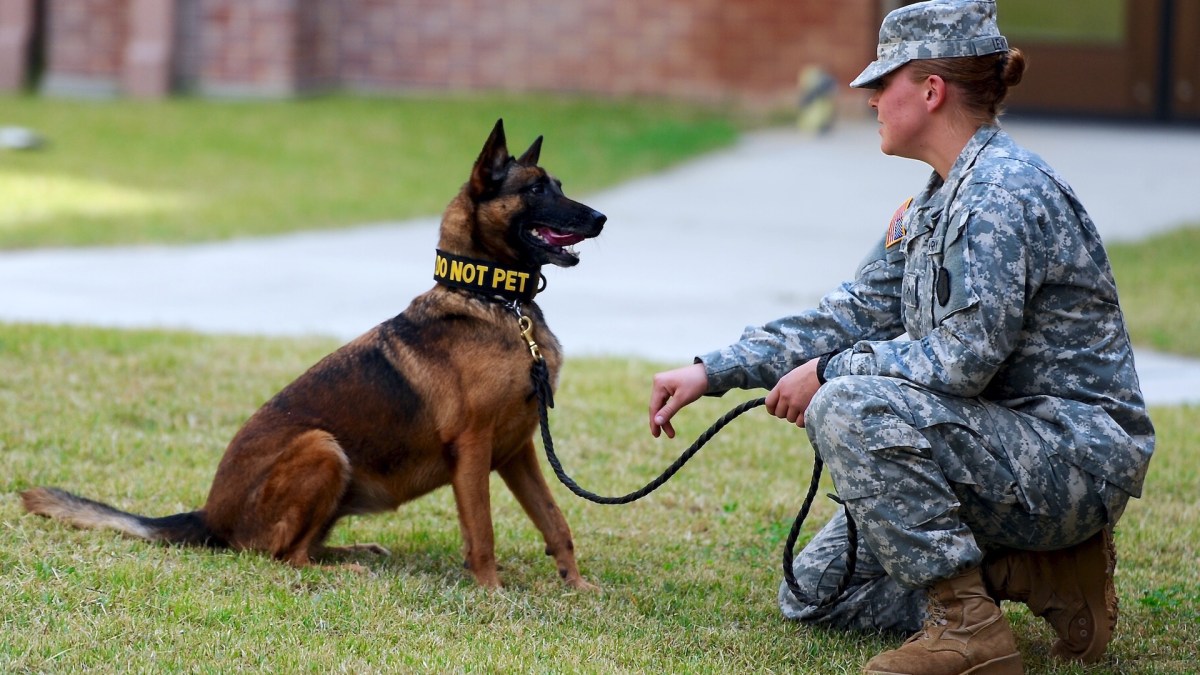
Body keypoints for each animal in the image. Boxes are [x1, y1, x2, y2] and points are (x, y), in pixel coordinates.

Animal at [25, 120, 609, 588]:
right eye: (535, 188)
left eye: (558, 185)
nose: (601, 218)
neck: (491, 298)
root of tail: (209, 516)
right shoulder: (474, 450)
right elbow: (482, 532)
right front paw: (491, 594)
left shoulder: (517, 451)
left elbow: (556, 520)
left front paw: (576, 586)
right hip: (322, 447)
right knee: (283, 556)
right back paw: (345, 569)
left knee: (303, 547)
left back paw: (356, 552)